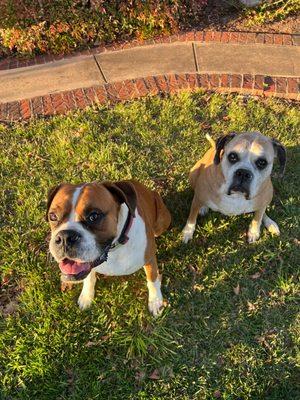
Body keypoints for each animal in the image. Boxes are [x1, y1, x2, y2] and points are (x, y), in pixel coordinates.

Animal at [45, 180, 170, 316]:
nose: (64, 237)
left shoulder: (150, 259)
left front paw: (156, 301)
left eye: (94, 216)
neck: (114, 248)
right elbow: (89, 277)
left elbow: (152, 279)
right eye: (52, 216)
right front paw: (86, 296)